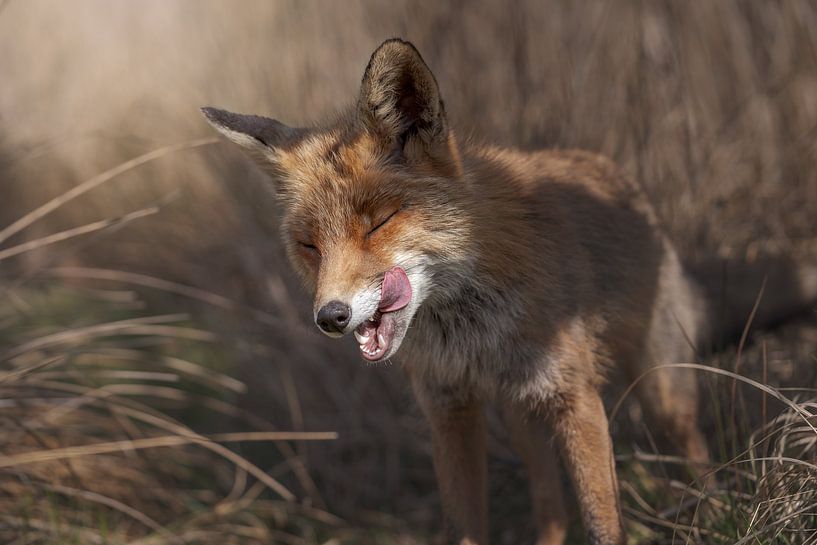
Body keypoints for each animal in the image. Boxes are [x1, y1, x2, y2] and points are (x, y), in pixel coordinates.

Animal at [202, 39, 817, 545]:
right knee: (549, 506)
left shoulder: (574, 396)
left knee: (691, 451)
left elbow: (603, 523)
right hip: (524, 417)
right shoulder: (450, 410)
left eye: (379, 223)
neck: (473, 332)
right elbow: (469, 526)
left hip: (658, 385)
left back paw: (711, 511)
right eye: (309, 245)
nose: (330, 316)